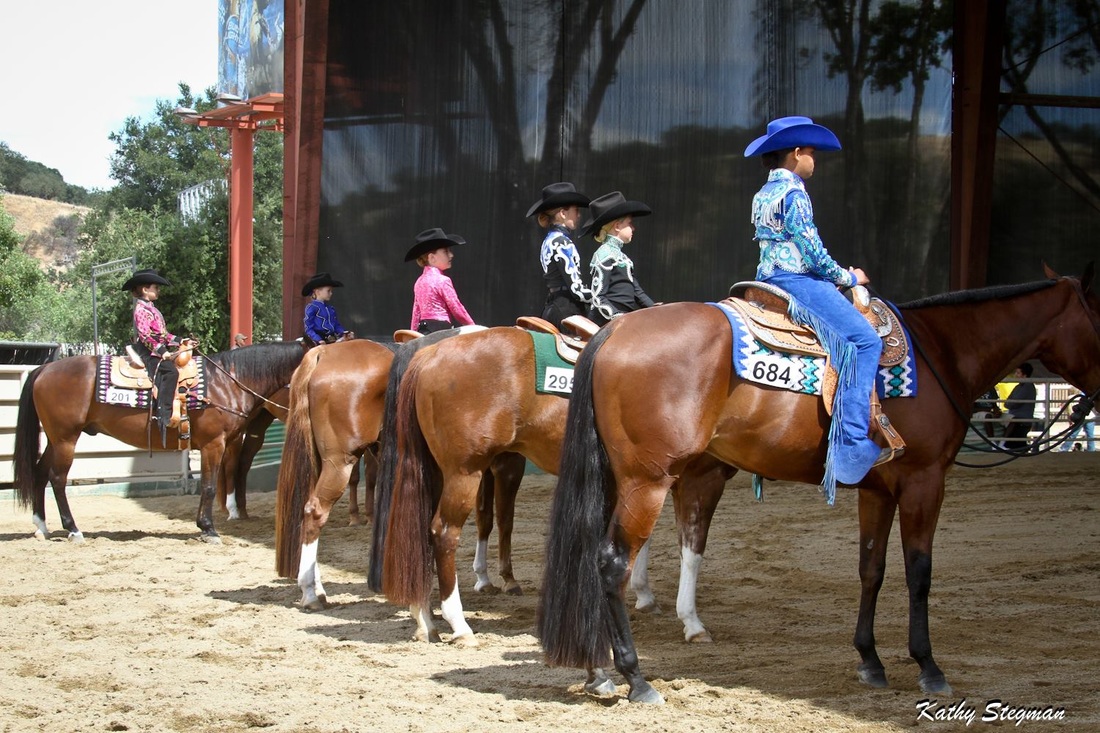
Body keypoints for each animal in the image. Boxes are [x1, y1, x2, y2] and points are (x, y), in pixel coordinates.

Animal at [11, 338, 310, 539]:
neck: (228, 382)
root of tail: (44, 369)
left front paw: (205, 525)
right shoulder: (214, 444)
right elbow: (209, 486)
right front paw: (209, 529)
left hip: (55, 440)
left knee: (40, 473)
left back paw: (41, 527)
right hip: (65, 439)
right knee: (57, 478)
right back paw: (73, 529)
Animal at [374, 325, 734, 647]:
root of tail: (429, 355)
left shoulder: (647, 480)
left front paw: (643, 596)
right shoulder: (698, 479)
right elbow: (690, 549)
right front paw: (691, 622)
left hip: (435, 471)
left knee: (418, 530)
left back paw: (424, 618)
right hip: (465, 473)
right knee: (443, 534)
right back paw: (458, 624)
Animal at [539, 264, 1100, 704]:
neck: (940, 352)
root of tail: (612, 332)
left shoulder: (878, 490)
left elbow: (872, 568)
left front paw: (870, 661)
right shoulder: (924, 481)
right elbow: (919, 572)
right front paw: (928, 667)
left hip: (619, 478)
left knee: (589, 558)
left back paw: (598, 673)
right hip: (648, 481)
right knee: (611, 564)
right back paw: (636, 678)